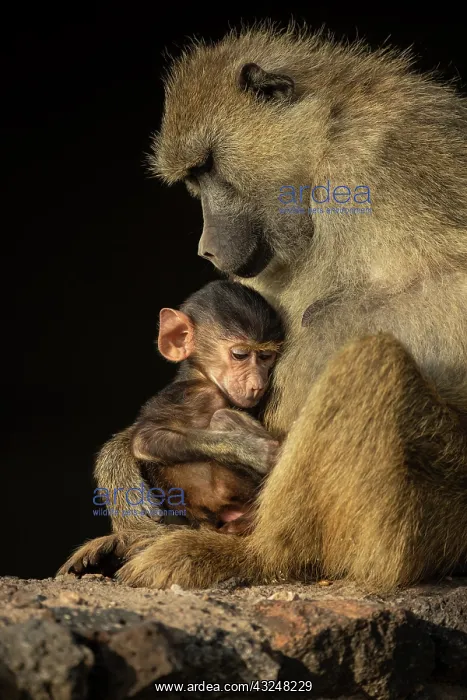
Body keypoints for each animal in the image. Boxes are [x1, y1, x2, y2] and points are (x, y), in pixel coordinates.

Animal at [58, 280, 283, 576]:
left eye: (266, 356)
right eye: (240, 355)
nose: (258, 384)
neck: (201, 377)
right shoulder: (192, 395)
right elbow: (146, 439)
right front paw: (253, 450)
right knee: (221, 417)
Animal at [97, 22, 467, 593]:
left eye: (208, 167)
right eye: (193, 179)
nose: (207, 248)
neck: (325, 144)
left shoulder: (384, 158)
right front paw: (122, 463)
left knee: (370, 364)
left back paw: (251, 556)